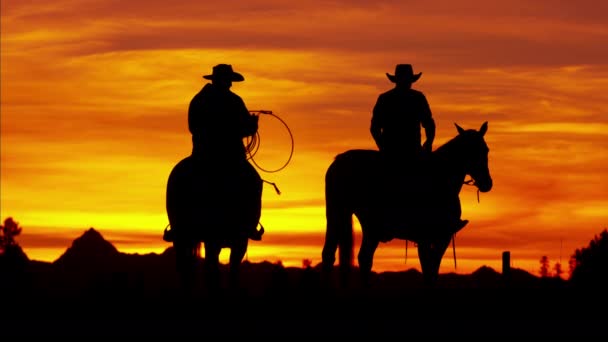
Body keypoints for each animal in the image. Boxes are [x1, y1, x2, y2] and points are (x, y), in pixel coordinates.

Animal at [320, 121, 492, 288]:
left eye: (486, 150)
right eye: (470, 151)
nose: (487, 183)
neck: (441, 179)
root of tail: (338, 161)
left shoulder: (443, 237)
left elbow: (433, 270)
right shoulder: (425, 237)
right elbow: (428, 270)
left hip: (365, 224)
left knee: (361, 257)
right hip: (341, 214)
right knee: (333, 255)